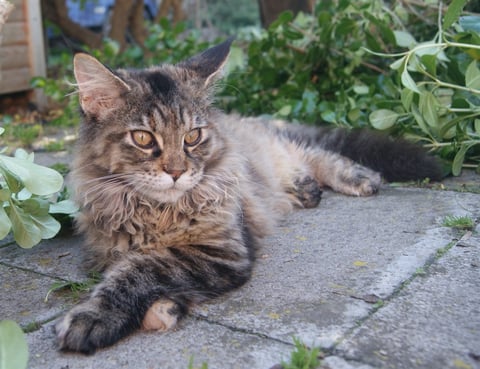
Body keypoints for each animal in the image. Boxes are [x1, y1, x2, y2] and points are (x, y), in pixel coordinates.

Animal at [54, 38, 440, 354]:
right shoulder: (107, 250)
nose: (177, 172)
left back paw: (357, 177)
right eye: (144, 139)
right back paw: (307, 190)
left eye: (192, 137)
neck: (157, 211)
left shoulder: (222, 250)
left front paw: (94, 317)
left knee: (314, 153)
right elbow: (134, 267)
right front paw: (165, 307)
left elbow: (142, 269)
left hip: (278, 148)